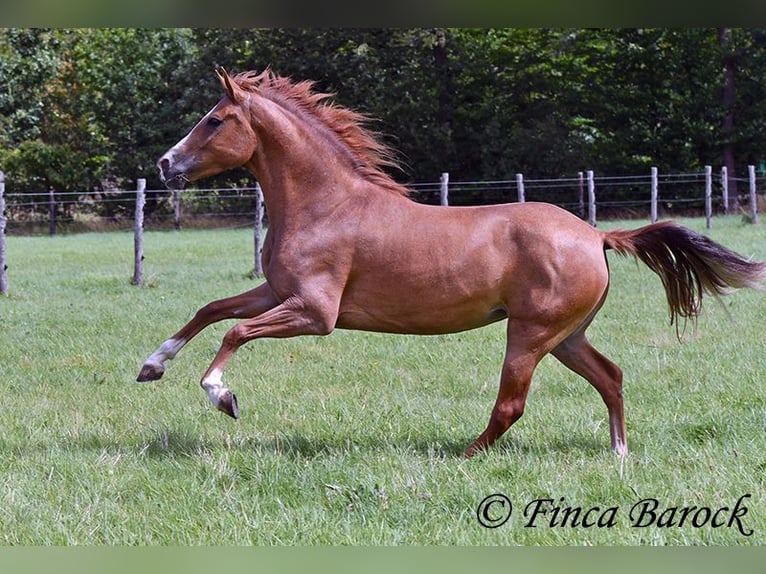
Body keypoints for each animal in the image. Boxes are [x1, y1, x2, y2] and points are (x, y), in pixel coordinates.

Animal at [138, 70, 766, 460]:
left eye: (216, 119)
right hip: (565, 336)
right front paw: (152, 366)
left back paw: (462, 455)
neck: (327, 203)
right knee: (610, 376)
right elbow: (210, 310)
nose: (166, 164)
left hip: (529, 334)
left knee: (512, 404)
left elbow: (235, 331)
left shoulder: (315, 313)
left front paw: (222, 395)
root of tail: (594, 235)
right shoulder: (276, 292)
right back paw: (619, 453)